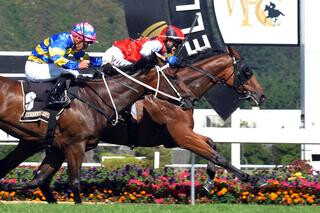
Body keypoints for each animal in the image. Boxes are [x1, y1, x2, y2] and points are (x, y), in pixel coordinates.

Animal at [0, 46, 264, 203]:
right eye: (247, 72)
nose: (261, 97)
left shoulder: (179, 136)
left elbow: (212, 144)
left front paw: (209, 182)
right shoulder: (179, 135)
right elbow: (216, 154)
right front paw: (253, 179)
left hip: (35, 142)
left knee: (29, 175)